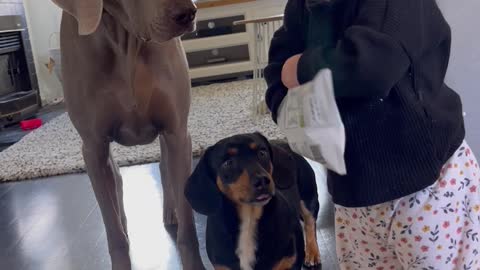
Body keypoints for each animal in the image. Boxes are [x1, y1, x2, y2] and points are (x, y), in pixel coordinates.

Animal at [51, 0, 204, 268]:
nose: (188, 13)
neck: (126, 43)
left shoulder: (177, 132)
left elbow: (188, 226)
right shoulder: (94, 147)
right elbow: (114, 232)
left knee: (164, 167)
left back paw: (170, 211)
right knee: (116, 181)